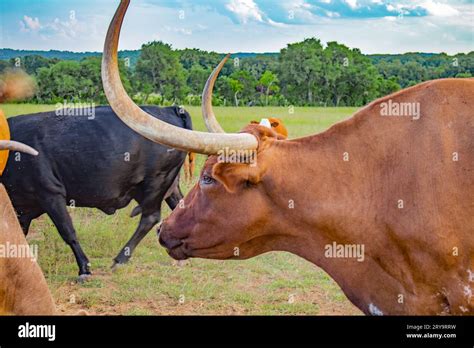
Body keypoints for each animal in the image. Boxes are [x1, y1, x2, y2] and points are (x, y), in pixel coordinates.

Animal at [2, 104, 191, 278]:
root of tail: (170, 109)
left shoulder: (50, 194)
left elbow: (67, 231)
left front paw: (84, 269)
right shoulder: (22, 208)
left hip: (155, 182)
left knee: (150, 218)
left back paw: (120, 260)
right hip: (168, 186)